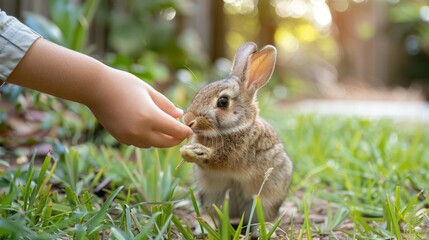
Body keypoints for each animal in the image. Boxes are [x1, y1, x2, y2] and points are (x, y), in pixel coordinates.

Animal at [179, 42, 292, 235]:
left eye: (223, 102)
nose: (188, 120)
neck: (236, 128)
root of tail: (238, 215)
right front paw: (187, 152)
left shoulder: (233, 154)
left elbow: (217, 159)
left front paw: (198, 151)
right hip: (211, 195)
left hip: (267, 198)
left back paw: (264, 229)